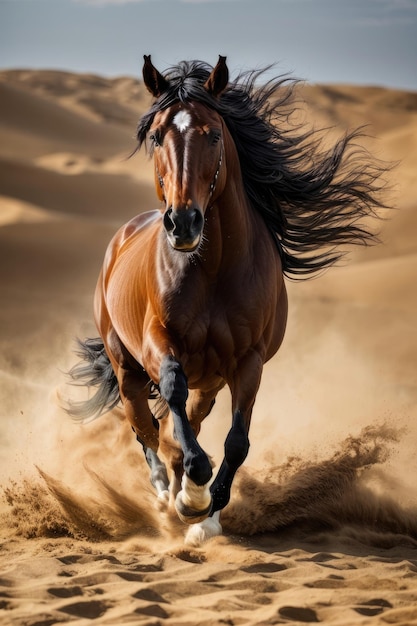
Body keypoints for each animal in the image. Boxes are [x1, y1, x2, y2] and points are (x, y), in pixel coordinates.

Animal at [67, 54, 384, 540]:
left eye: (213, 133)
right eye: (156, 136)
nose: (183, 223)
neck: (213, 270)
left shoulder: (248, 361)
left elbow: (236, 442)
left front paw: (207, 515)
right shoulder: (161, 344)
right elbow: (173, 397)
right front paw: (192, 494)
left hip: (211, 381)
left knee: (177, 426)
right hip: (127, 368)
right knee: (146, 427)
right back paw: (165, 494)